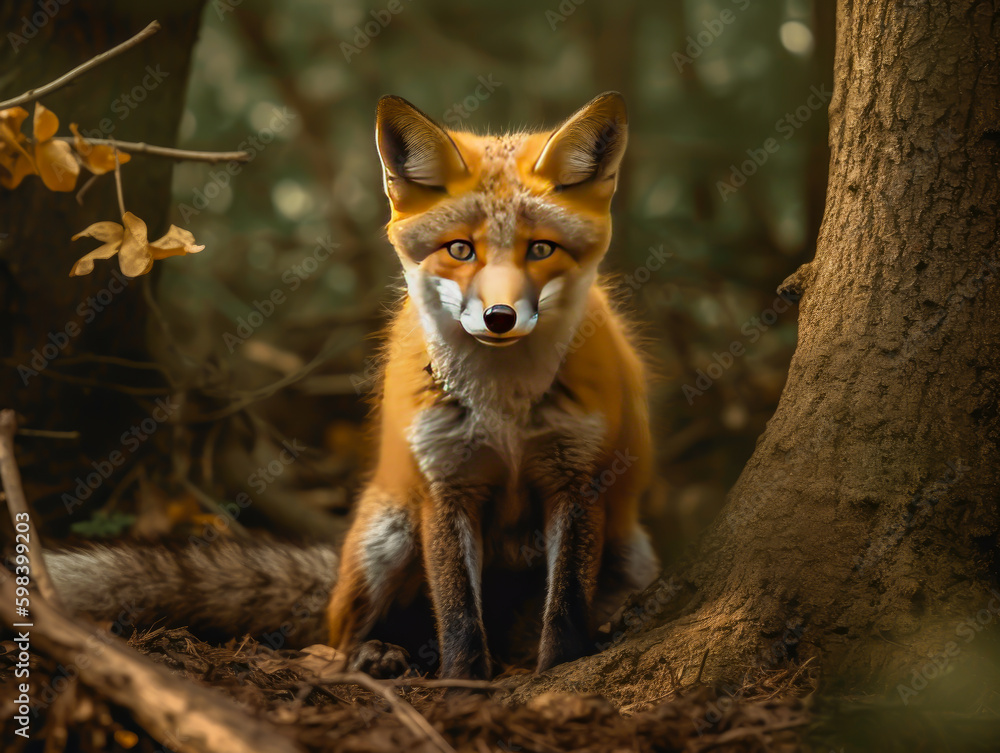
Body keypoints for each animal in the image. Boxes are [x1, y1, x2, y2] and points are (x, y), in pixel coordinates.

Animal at [43, 92, 658, 680]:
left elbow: (566, 604)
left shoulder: (576, 483)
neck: (501, 402)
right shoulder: (445, 486)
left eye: (541, 249)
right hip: (388, 536)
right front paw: (463, 681)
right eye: (461, 249)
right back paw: (377, 656)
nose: (500, 318)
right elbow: (458, 610)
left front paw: (559, 668)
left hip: (631, 557)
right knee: (340, 635)